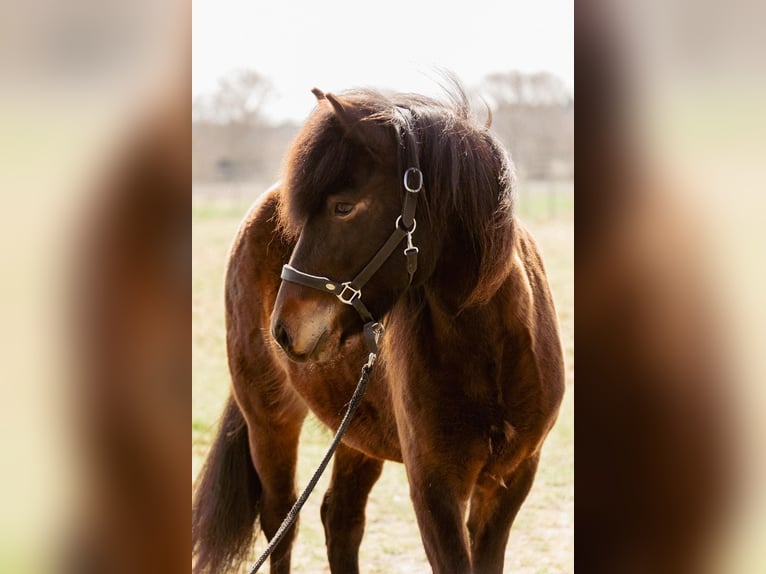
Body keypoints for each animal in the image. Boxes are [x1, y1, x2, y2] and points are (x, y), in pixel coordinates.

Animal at [192, 85, 565, 574]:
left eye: (343, 206)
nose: (283, 329)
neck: (488, 352)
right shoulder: (434, 489)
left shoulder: (511, 481)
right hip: (269, 420)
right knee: (281, 520)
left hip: (355, 429)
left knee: (340, 518)